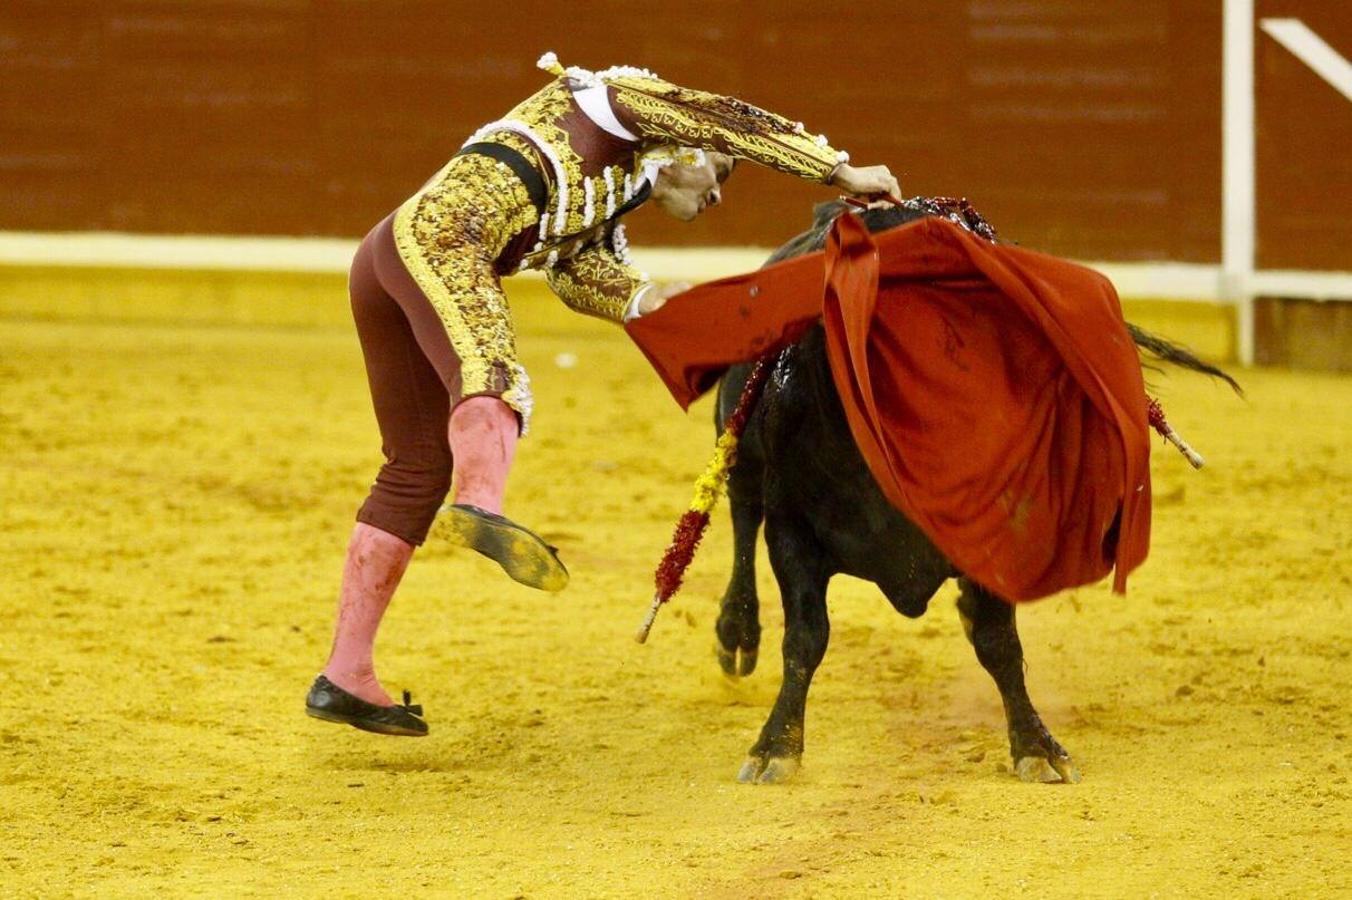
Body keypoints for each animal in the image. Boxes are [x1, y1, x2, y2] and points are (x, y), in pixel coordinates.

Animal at [713, 200, 1238, 783]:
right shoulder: (793, 532)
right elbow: (805, 636)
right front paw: (775, 747)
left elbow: (999, 642)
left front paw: (1036, 745)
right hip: (739, 449)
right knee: (742, 515)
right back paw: (736, 631)